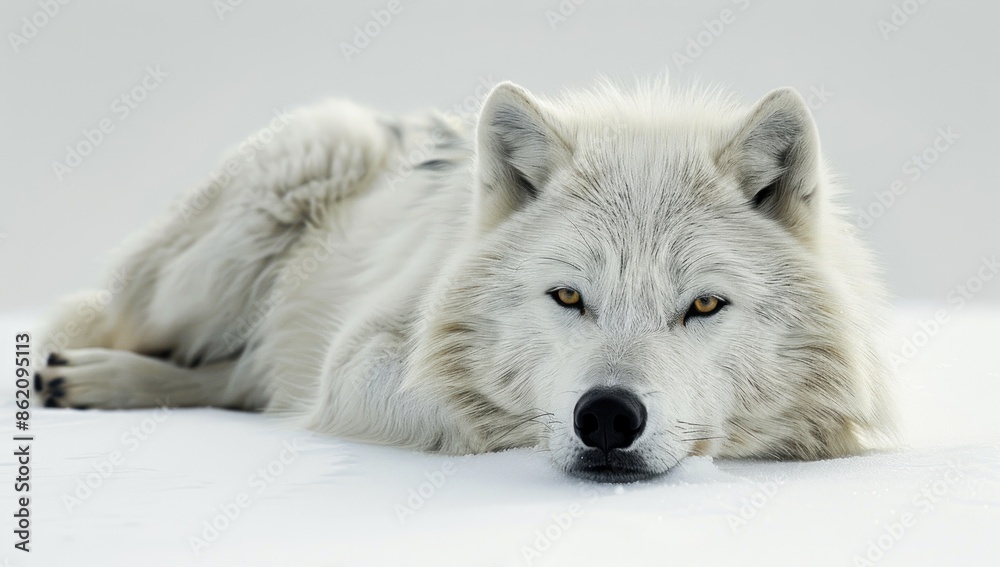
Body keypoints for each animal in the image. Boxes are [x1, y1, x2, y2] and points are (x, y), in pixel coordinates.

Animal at [35, 79, 896, 482]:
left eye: (705, 305)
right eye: (568, 296)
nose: (607, 415)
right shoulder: (357, 359)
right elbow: (470, 411)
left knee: (238, 381)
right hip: (233, 240)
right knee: (111, 325)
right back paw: (78, 374)